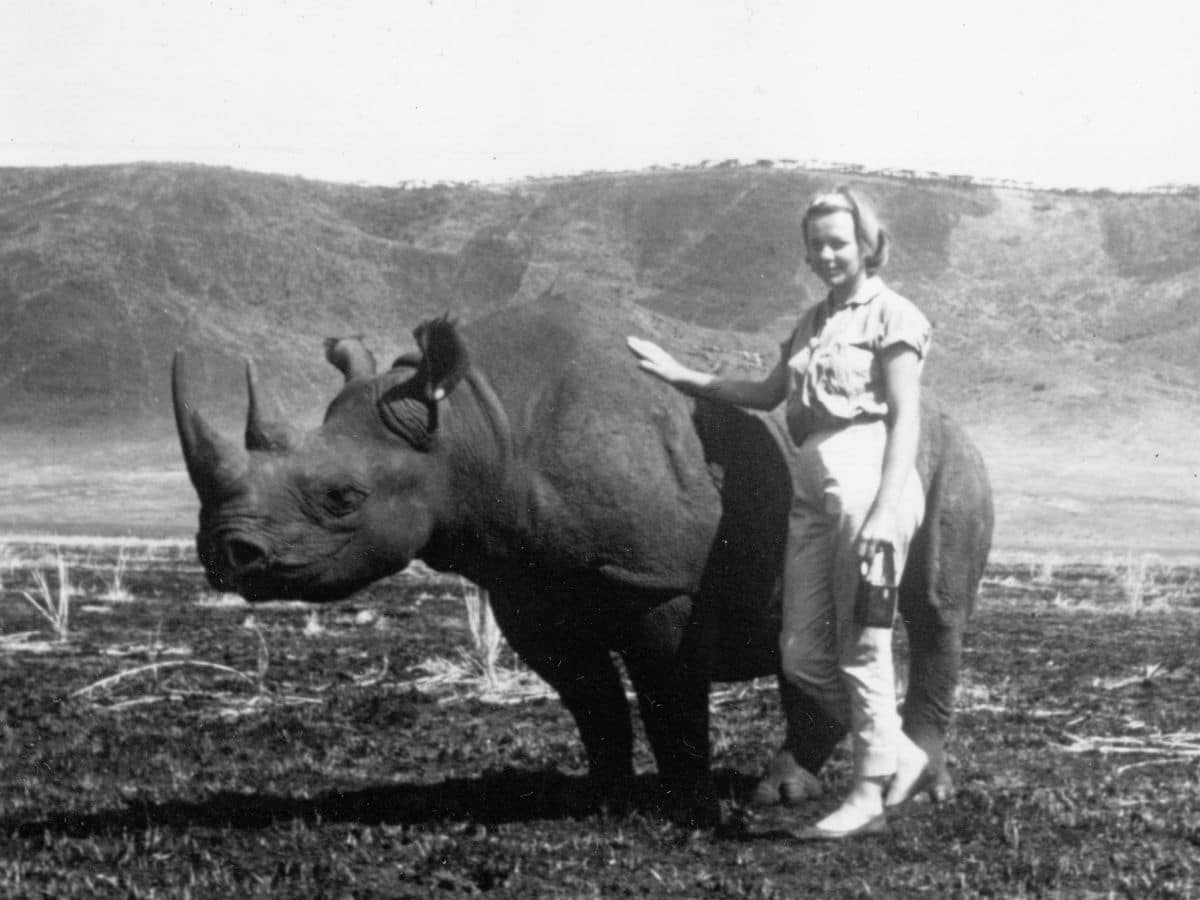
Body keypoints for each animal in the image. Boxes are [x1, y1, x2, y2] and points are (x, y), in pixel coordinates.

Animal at [173, 292, 993, 824]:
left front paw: (682, 805)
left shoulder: (660, 582)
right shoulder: (528, 587)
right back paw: (788, 791)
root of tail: (948, 411)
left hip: (948, 455)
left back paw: (918, 788)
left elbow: (668, 695)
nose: (224, 553)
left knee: (937, 612)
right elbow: (590, 700)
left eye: (342, 496)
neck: (471, 427)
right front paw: (604, 797)